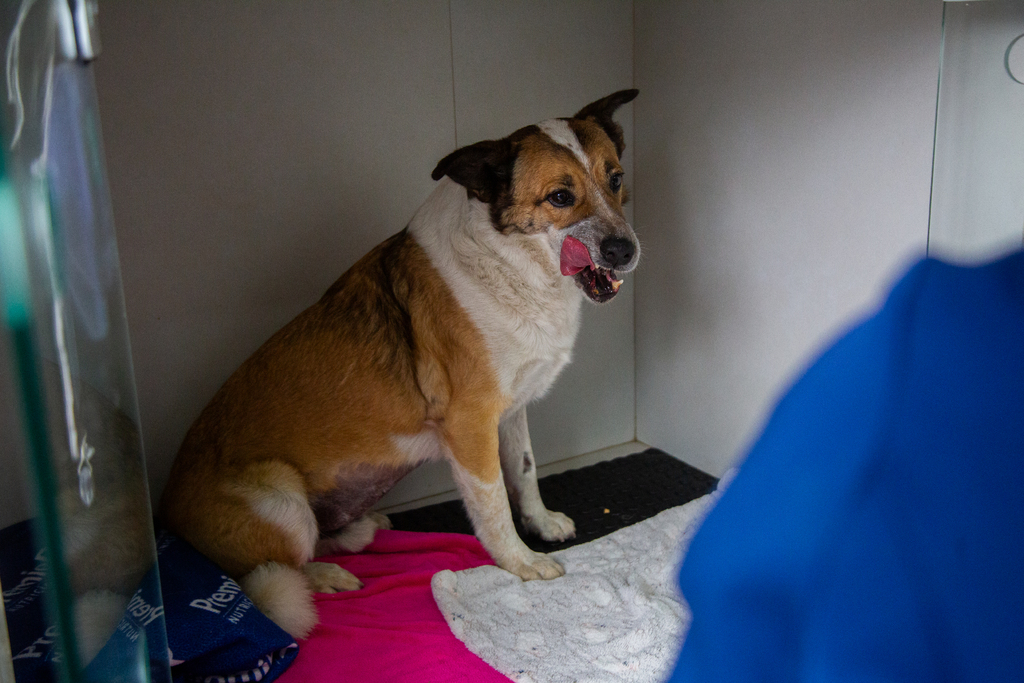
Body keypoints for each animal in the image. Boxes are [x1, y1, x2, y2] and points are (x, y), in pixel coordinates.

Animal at [157, 88, 638, 638]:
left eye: (615, 178)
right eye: (560, 197)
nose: (625, 251)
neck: (508, 260)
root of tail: (164, 510)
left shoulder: (512, 409)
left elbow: (525, 471)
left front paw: (540, 522)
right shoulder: (469, 425)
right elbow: (494, 502)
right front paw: (519, 562)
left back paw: (357, 531)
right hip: (282, 501)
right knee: (272, 571)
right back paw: (325, 576)